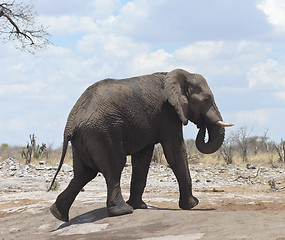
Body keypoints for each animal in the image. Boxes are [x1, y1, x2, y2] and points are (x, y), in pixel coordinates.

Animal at [48, 68, 231, 222]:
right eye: (207, 99)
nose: (202, 125)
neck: (178, 75)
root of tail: (70, 124)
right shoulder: (167, 113)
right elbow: (174, 153)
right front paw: (192, 205)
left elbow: (142, 159)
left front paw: (141, 206)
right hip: (102, 133)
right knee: (114, 167)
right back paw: (123, 211)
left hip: (82, 140)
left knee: (84, 174)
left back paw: (58, 214)